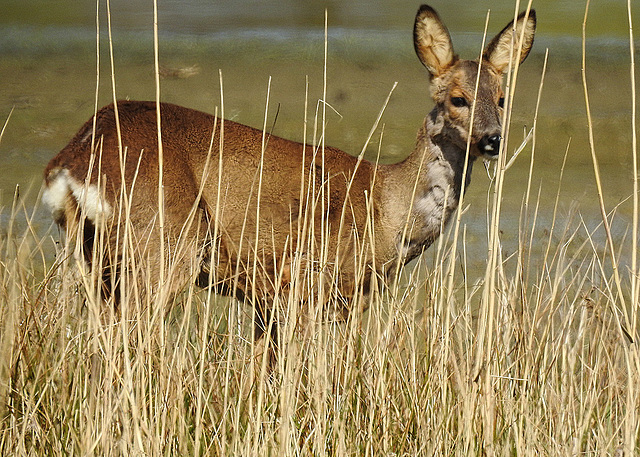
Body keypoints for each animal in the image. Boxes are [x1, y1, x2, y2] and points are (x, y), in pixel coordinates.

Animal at [42, 3, 536, 350]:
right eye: (457, 98)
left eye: (503, 98)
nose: (492, 139)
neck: (387, 208)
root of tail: (70, 161)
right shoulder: (311, 284)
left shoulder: (272, 300)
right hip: (164, 243)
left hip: (98, 257)